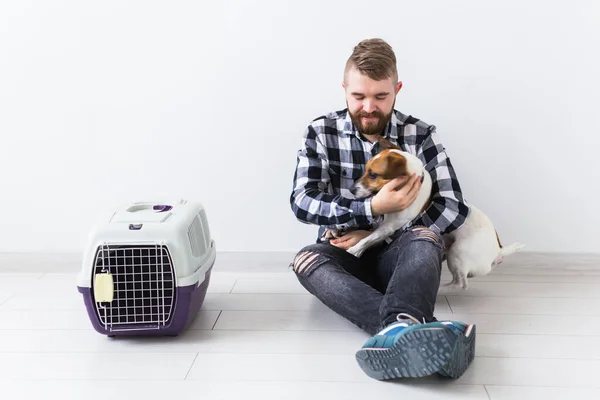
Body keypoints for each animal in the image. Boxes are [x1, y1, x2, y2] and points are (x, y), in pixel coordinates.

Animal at [324, 138, 524, 288]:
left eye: (373, 174)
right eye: (365, 170)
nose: (351, 189)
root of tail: (498, 249)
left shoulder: (389, 227)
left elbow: (367, 238)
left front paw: (354, 249)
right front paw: (334, 229)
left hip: (458, 253)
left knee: (462, 283)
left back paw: (445, 289)